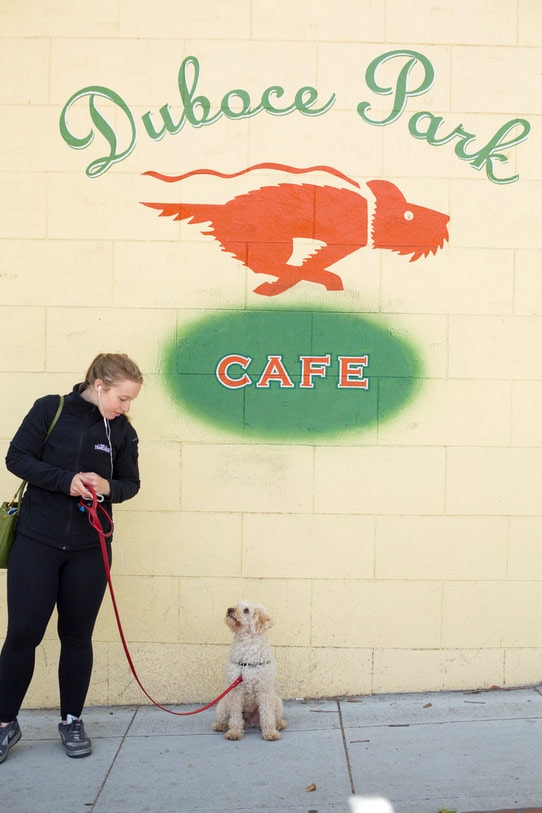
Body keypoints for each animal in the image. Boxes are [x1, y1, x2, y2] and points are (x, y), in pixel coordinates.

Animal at [212, 600, 288, 740]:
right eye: (236, 605)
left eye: (246, 610)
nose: (229, 609)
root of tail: (250, 722)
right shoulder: (236, 691)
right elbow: (235, 716)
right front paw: (234, 732)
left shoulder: (264, 689)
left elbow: (267, 715)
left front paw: (270, 733)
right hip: (223, 704)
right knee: (225, 719)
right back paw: (220, 726)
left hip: (277, 702)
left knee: (274, 717)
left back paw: (279, 724)